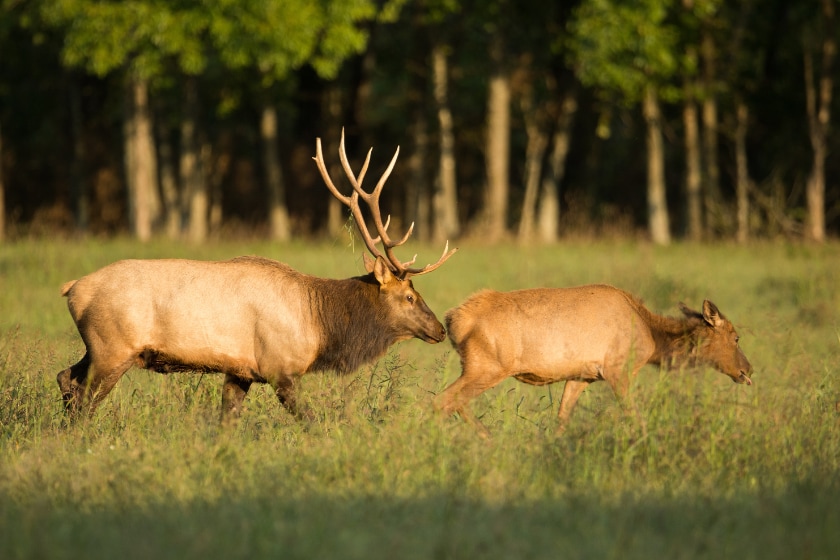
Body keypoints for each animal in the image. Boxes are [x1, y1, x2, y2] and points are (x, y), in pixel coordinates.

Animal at [55, 129, 456, 422]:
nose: (440, 329)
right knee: (83, 397)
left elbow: (226, 422)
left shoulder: (241, 372)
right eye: (410, 296)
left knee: (65, 378)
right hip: (113, 348)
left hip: (99, 348)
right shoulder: (281, 368)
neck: (321, 326)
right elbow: (310, 421)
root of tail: (71, 289)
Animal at [436, 284, 752, 438]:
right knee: (442, 401)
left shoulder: (582, 376)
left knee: (452, 402)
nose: (747, 370)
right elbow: (635, 417)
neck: (653, 338)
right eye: (736, 337)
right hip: (486, 367)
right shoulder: (618, 370)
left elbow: (562, 419)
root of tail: (453, 320)